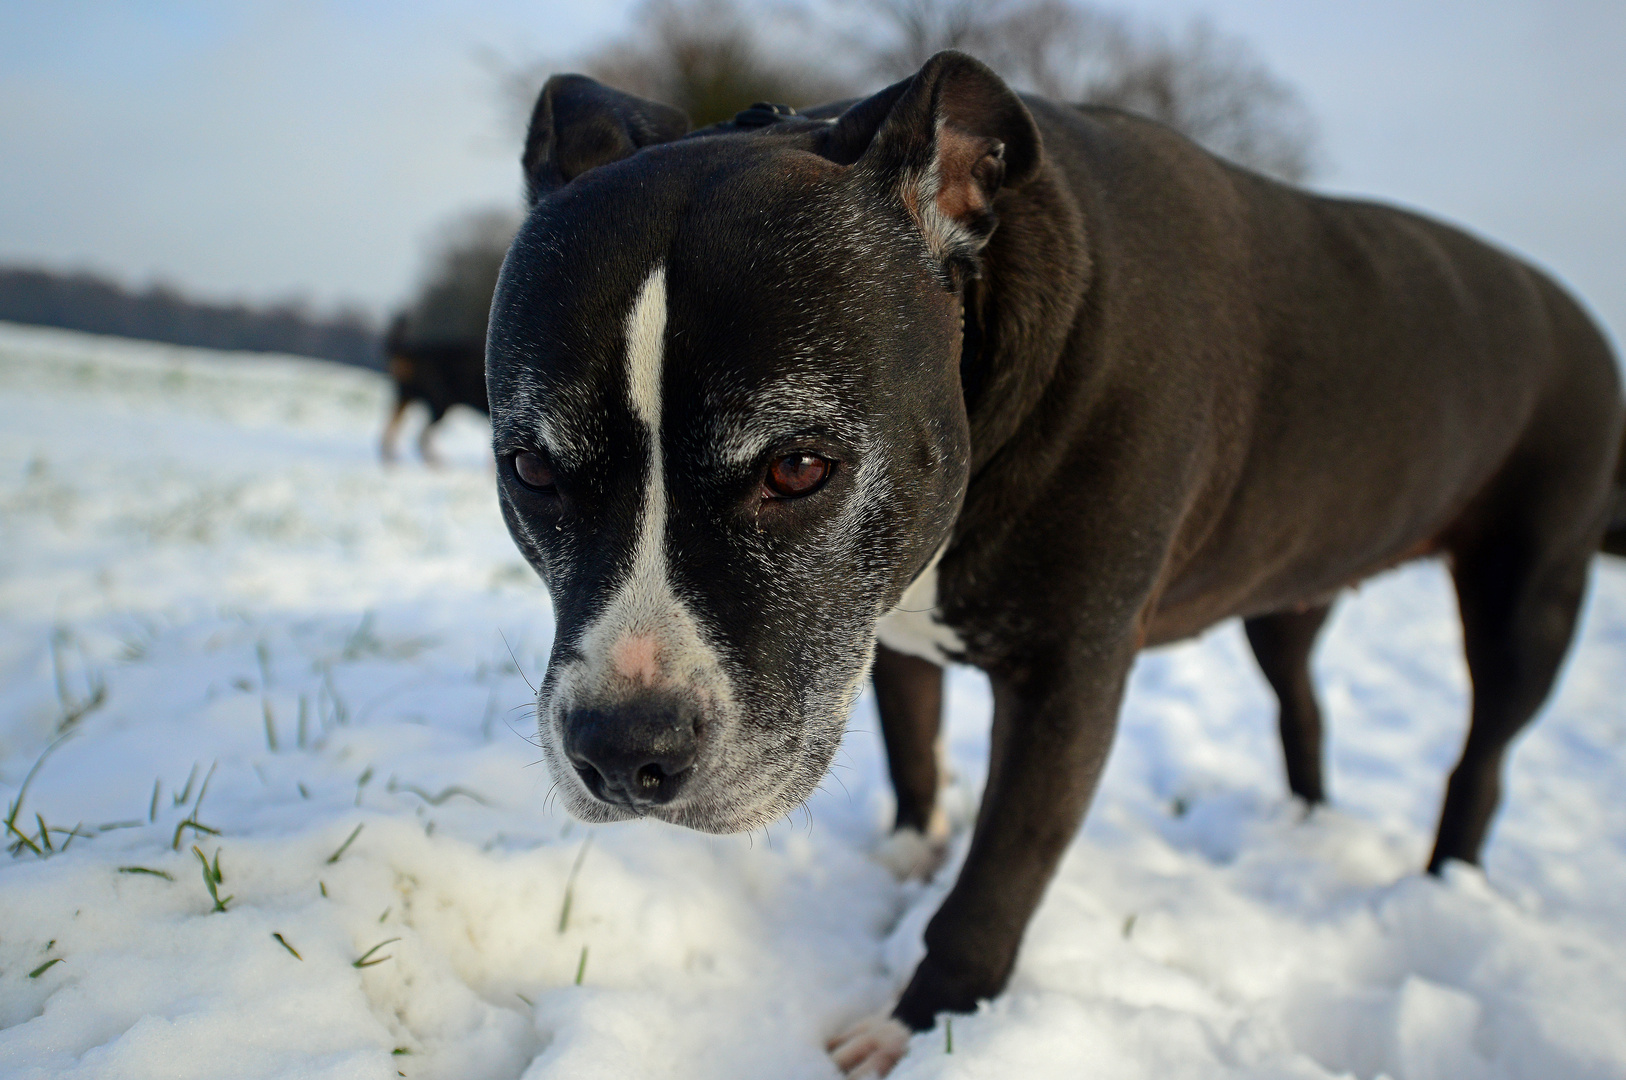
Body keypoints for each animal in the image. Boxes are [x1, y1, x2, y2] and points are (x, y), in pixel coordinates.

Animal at [484, 48, 1626, 1073]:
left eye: (798, 467)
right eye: (531, 469)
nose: (621, 750)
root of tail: (1577, 313)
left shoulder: (1066, 679)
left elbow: (999, 878)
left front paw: (919, 1027)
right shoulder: (879, 619)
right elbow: (912, 747)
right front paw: (908, 855)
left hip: (1530, 596)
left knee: (1482, 762)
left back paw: (1443, 889)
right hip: (1289, 599)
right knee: (1303, 704)